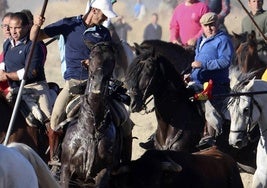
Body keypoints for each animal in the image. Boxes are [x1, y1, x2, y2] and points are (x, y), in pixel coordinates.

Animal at [60, 41, 132, 188]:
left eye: (112, 59)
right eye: (91, 56)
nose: (97, 83)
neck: (91, 128)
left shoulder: (104, 172)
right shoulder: (66, 169)